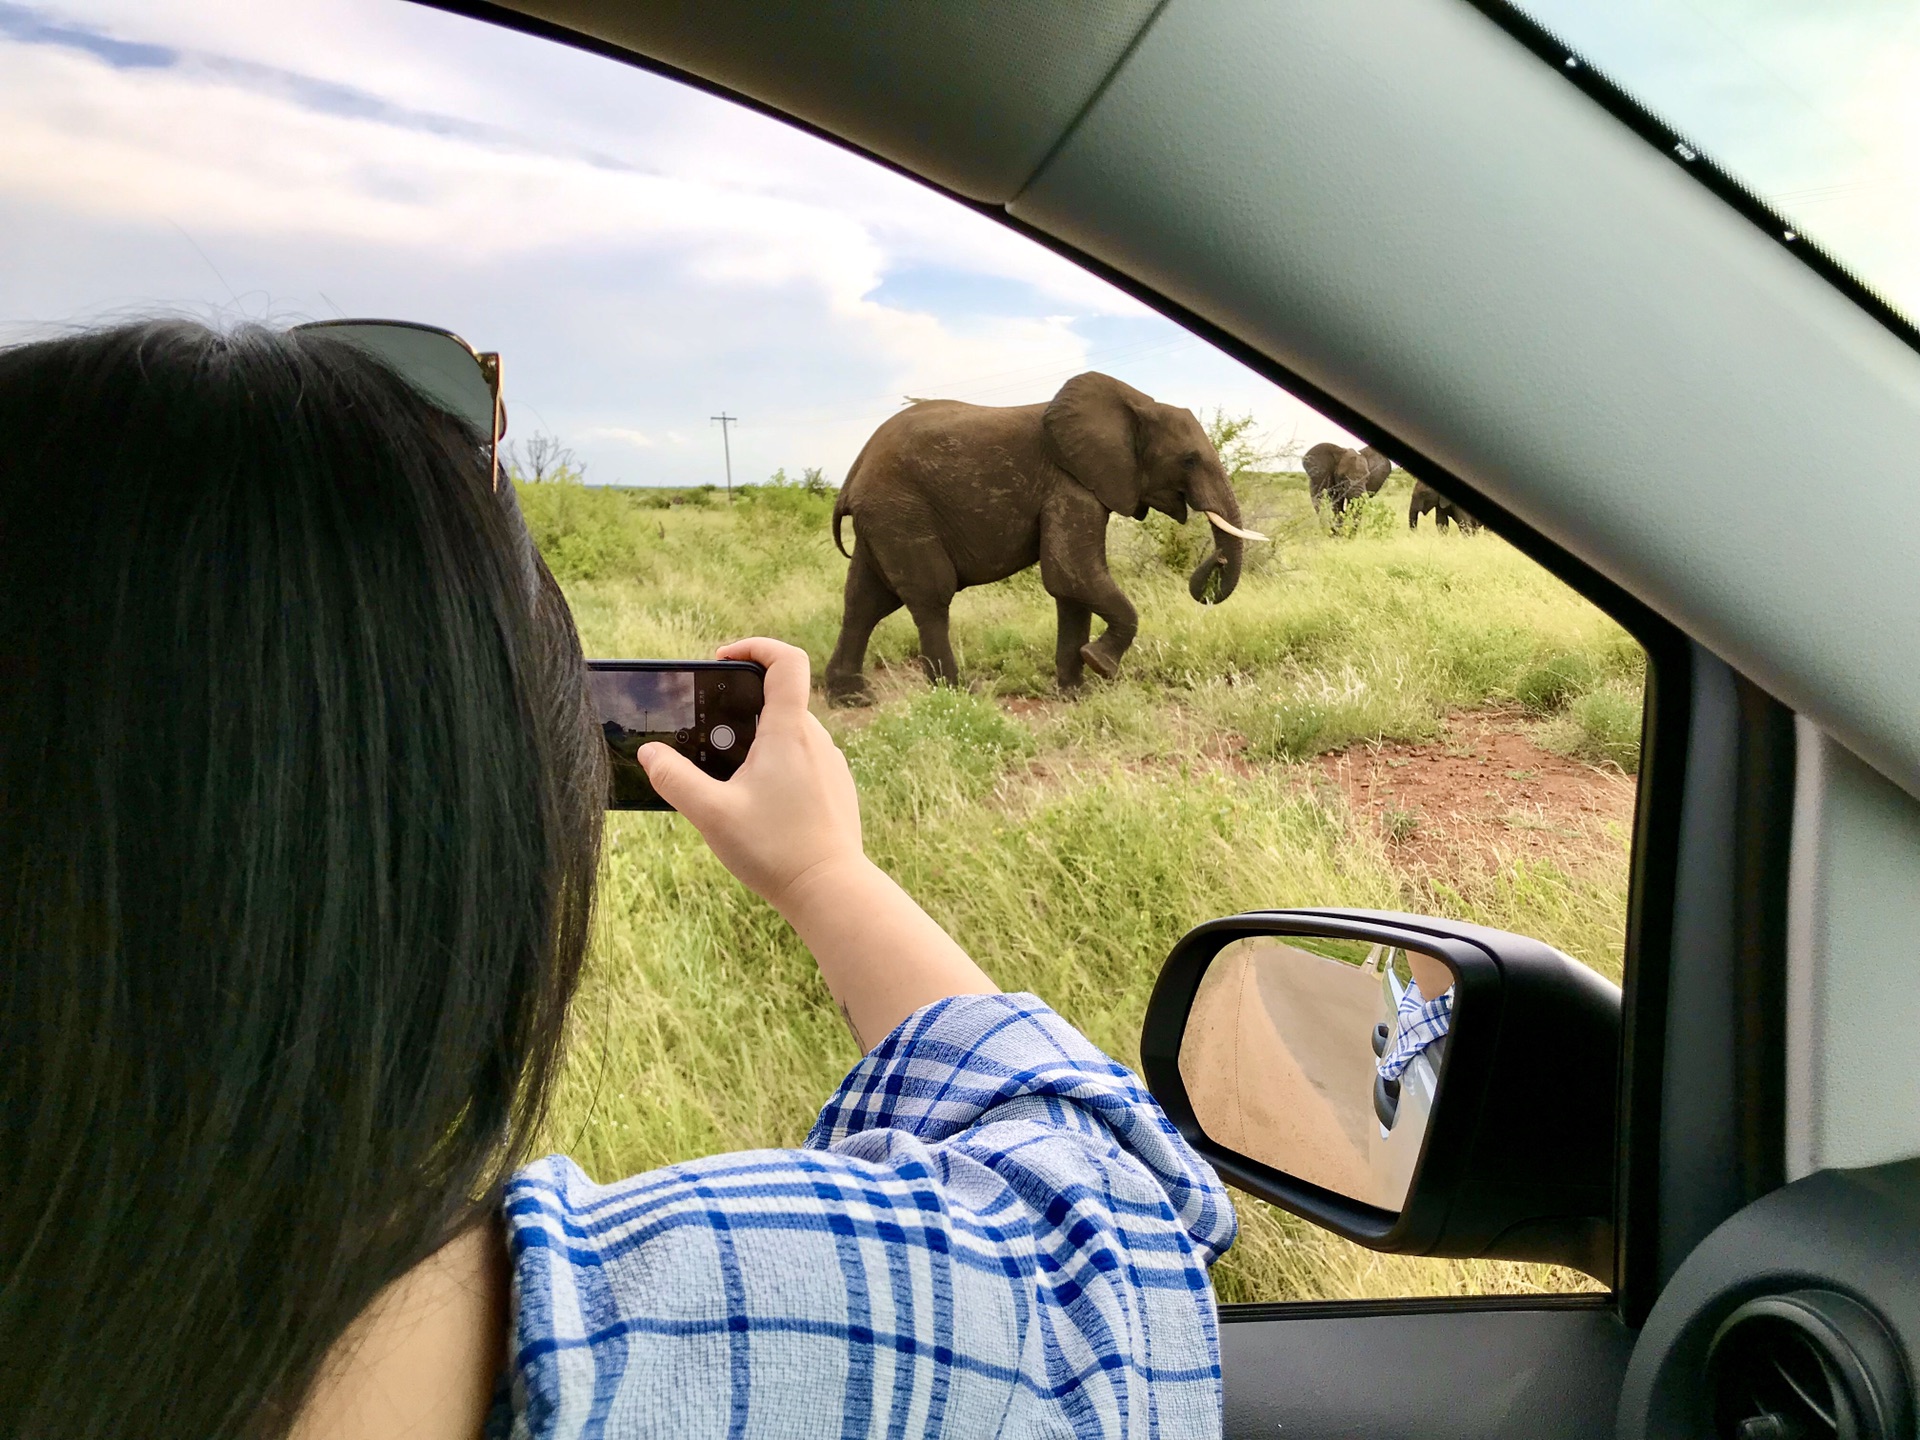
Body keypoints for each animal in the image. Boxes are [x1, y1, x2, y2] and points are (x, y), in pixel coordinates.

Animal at [821, 372, 1259, 710]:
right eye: (1189, 460)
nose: (1216, 562)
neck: (1138, 403)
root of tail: (854, 471)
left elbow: (1072, 590)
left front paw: (1074, 694)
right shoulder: (1069, 486)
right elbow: (1072, 575)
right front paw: (1100, 665)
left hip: (883, 518)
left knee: (864, 601)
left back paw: (851, 698)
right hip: (902, 512)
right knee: (930, 595)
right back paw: (961, 693)